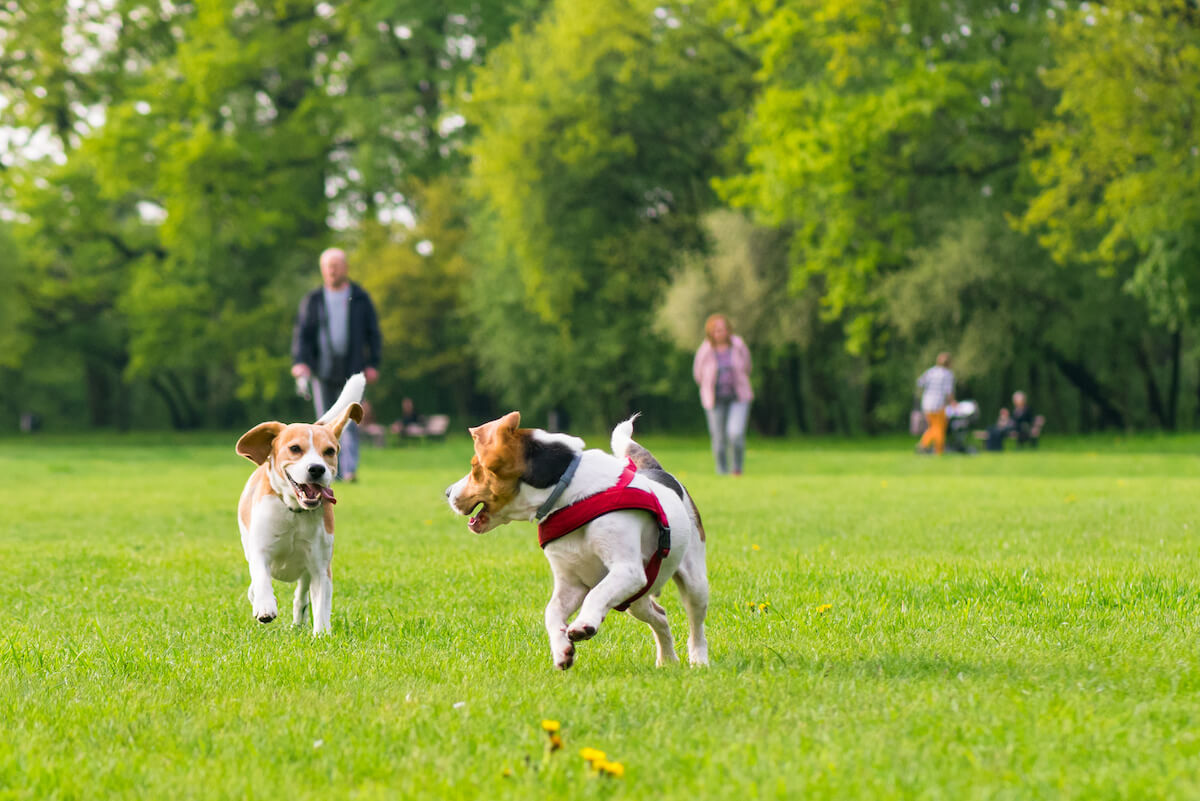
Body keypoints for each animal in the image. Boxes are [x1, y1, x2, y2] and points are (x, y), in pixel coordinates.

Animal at [234, 376, 362, 633]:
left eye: (329, 451)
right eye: (295, 448)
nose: (317, 469)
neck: (295, 513)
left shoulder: (320, 567)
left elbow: (321, 604)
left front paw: (321, 634)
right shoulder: (260, 551)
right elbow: (261, 577)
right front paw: (265, 606)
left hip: (306, 570)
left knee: (301, 594)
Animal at [446, 412, 705, 671]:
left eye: (475, 467)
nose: (447, 492)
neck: (569, 496)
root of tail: (656, 470)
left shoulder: (627, 570)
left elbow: (596, 594)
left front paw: (583, 624)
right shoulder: (571, 583)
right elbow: (551, 612)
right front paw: (562, 650)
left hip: (693, 584)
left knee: (696, 627)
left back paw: (699, 661)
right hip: (636, 599)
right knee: (660, 616)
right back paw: (667, 660)